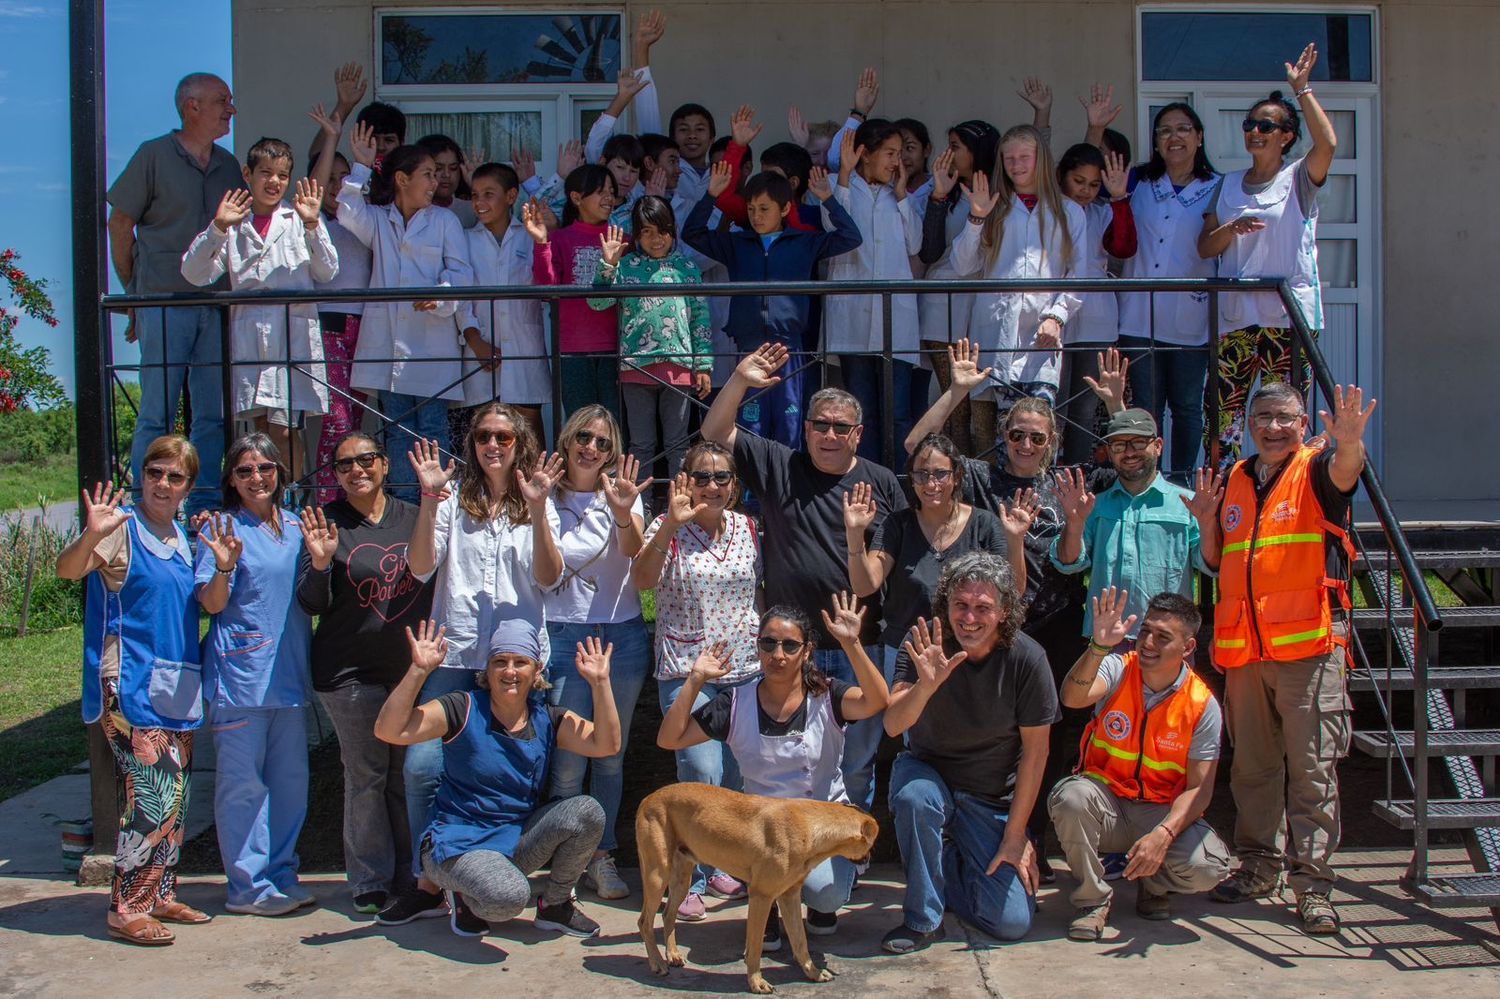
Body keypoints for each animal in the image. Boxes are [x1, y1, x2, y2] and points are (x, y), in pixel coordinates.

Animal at [633, 780, 876, 990]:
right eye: (871, 842)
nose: (869, 858)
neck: (810, 826)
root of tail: (648, 798)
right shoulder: (761, 895)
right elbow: (757, 946)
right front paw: (756, 982)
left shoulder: (789, 895)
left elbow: (800, 942)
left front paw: (813, 973)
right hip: (657, 875)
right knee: (645, 921)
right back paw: (657, 963)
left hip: (682, 879)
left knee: (667, 915)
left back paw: (672, 954)